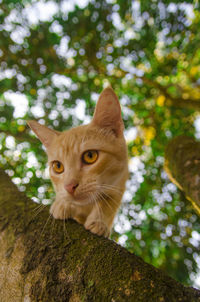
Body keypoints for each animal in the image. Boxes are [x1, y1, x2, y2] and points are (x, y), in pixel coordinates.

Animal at [27, 86, 128, 237]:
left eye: (90, 156)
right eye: (58, 166)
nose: (70, 187)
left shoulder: (119, 184)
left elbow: (108, 202)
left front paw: (99, 222)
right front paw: (62, 203)